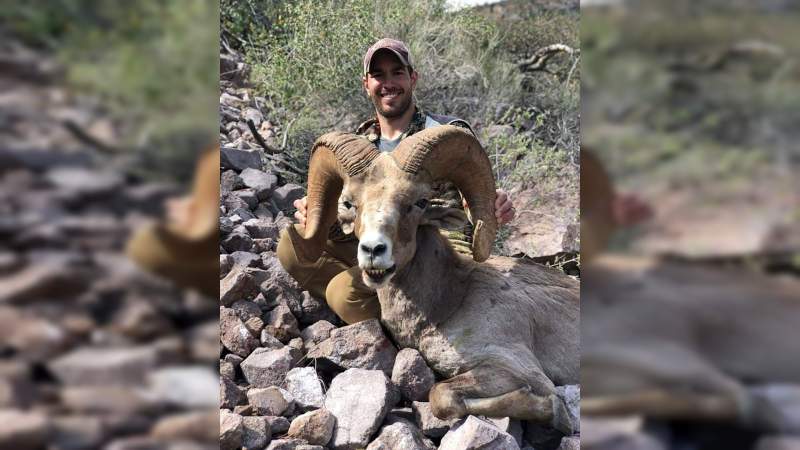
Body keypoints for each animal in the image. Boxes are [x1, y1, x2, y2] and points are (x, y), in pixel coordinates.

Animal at [290, 125, 580, 430]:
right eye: (350, 203)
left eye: (419, 202)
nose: (372, 251)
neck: (450, 302)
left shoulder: (517, 369)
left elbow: (439, 395)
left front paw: (556, 413)